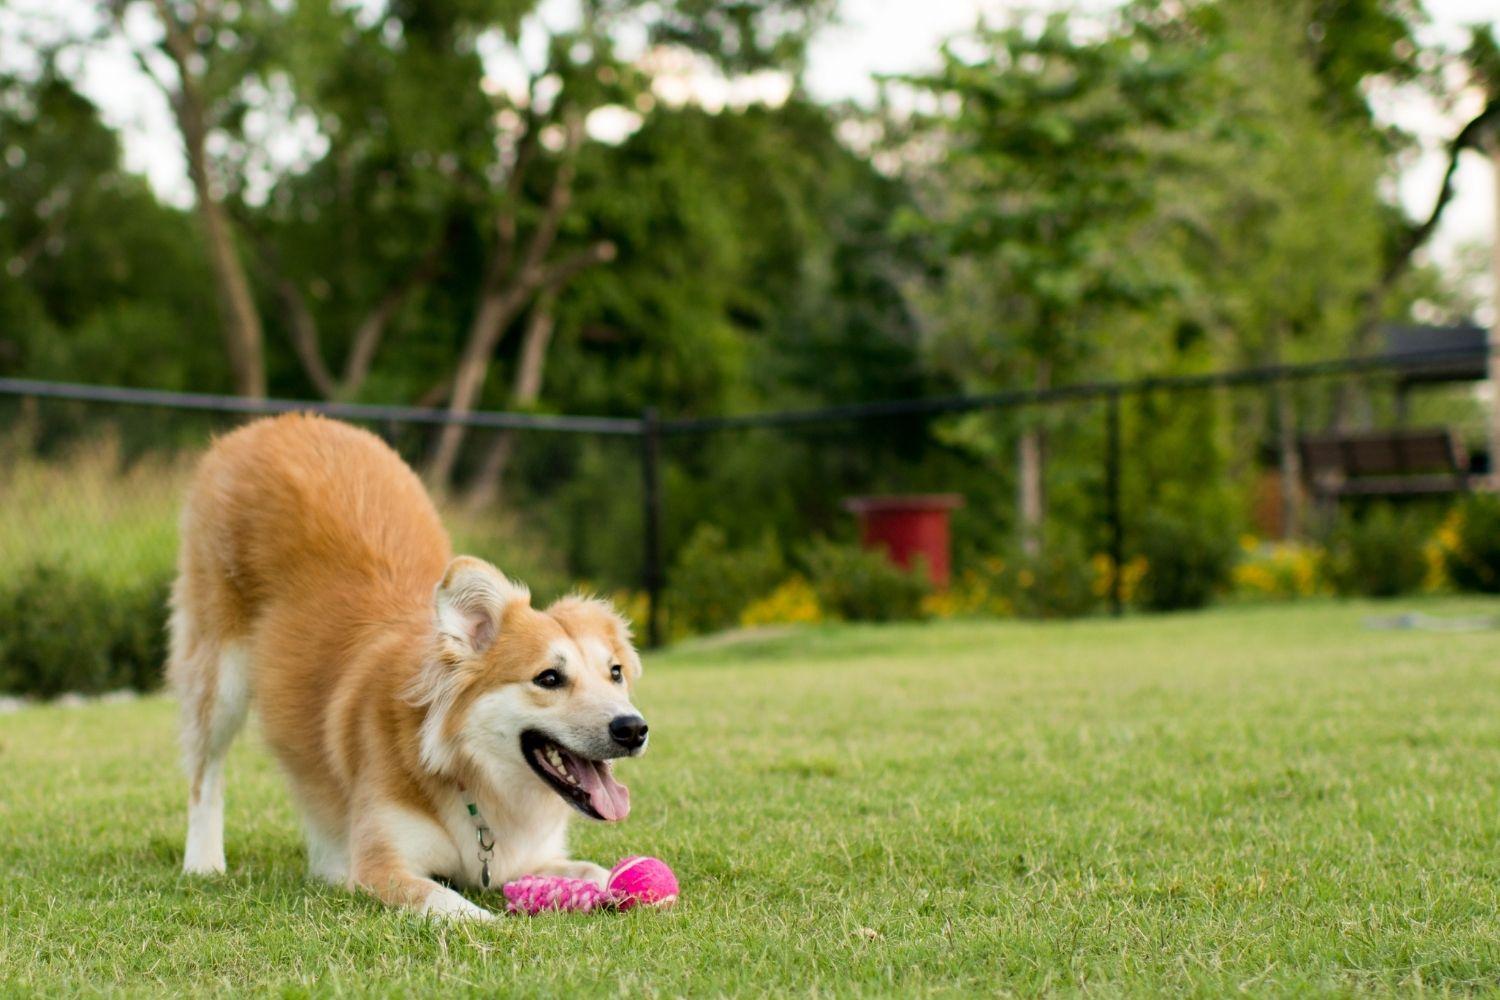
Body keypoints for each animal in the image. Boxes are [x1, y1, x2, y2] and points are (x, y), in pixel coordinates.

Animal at [165, 413, 645, 923]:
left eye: (615, 673)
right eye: (549, 678)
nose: (633, 729)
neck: (468, 772)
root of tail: (278, 422)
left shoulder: (529, 857)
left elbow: (596, 870)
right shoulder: (381, 867)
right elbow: (447, 901)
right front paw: (490, 922)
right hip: (218, 674)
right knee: (204, 775)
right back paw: (204, 861)